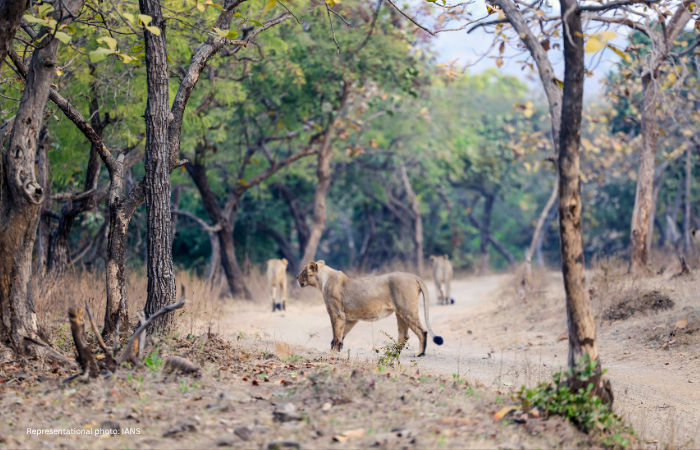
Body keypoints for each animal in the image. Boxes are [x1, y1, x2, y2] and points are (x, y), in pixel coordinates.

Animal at [296, 260, 444, 356]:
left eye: (303, 271)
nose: (297, 277)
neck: (322, 280)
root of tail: (414, 276)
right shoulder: (350, 318)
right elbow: (341, 334)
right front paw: (337, 350)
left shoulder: (337, 313)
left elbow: (337, 334)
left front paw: (331, 352)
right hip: (400, 313)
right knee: (404, 335)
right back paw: (392, 353)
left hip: (407, 310)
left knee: (422, 331)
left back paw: (419, 353)